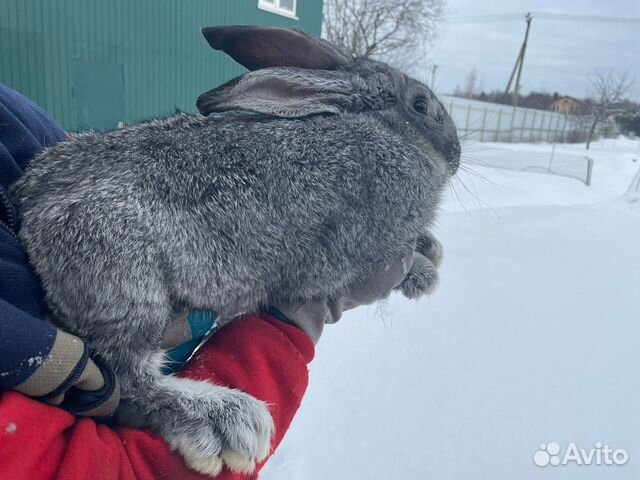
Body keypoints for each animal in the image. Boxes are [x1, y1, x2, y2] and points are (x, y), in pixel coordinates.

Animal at [11, 26, 460, 476]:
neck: (387, 130)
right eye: (421, 105)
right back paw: (222, 419)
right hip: (120, 277)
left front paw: (432, 249)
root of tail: (28, 209)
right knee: (125, 377)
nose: (456, 153)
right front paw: (424, 274)